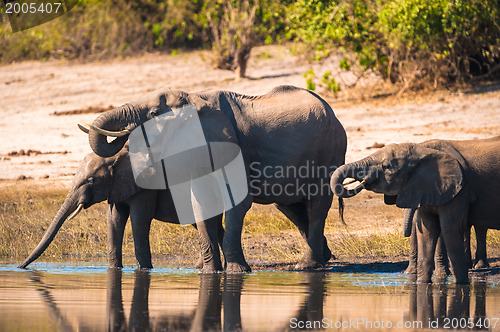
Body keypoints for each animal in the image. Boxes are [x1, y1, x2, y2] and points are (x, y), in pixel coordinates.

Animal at [19, 148, 223, 272]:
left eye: (92, 180)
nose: (20, 267)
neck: (118, 156)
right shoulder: (117, 185)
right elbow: (114, 219)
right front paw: (115, 269)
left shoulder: (145, 188)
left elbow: (139, 220)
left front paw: (144, 270)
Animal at [332, 136, 500, 284]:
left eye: (386, 167)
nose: (362, 182)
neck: (423, 150)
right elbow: (426, 231)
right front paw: (420, 283)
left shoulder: (459, 192)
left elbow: (450, 230)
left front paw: (460, 285)